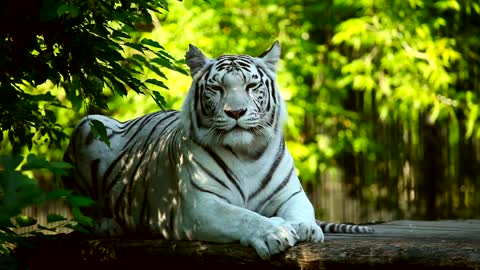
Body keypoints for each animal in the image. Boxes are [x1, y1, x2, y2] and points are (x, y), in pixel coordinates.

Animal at [63, 41, 372, 260]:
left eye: (251, 86)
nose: (236, 112)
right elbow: (242, 217)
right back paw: (108, 225)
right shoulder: (199, 205)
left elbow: (301, 210)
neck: (249, 154)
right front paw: (274, 231)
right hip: (89, 125)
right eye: (217, 88)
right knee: (81, 214)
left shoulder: (291, 194)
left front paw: (304, 228)